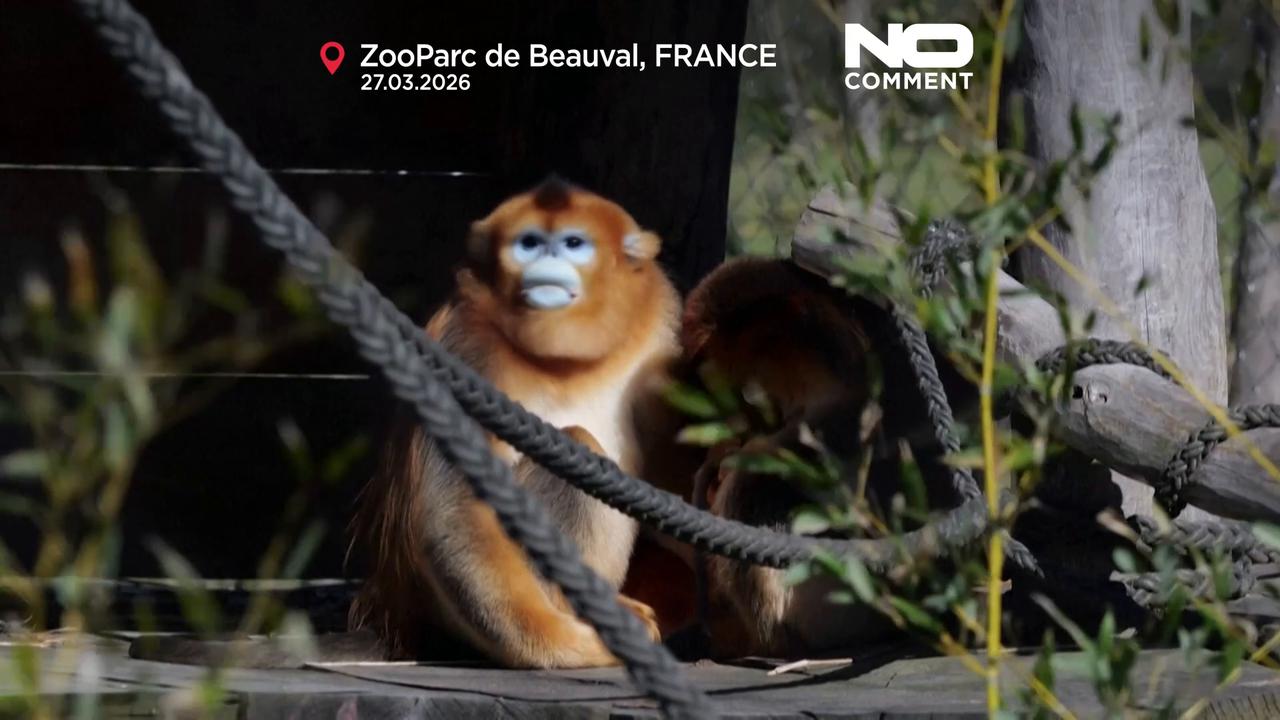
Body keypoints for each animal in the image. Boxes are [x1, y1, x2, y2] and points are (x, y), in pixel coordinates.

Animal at [348, 178, 681, 668]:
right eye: (529, 243)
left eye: (573, 243)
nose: (546, 262)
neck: (565, 362)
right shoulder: (467, 350)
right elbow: (455, 510)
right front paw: (569, 645)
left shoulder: (659, 325)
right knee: (575, 449)